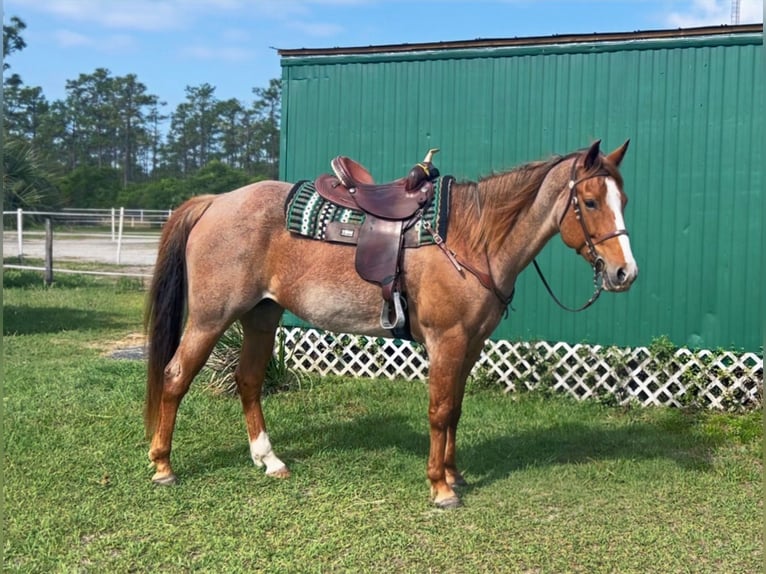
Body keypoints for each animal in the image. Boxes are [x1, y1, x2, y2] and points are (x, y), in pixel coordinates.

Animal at [144, 139, 637, 508]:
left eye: (624, 201)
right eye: (590, 201)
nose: (624, 273)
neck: (472, 238)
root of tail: (215, 203)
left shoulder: (471, 344)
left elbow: (456, 410)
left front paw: (454, 475)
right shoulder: (446, 341)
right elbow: (440, 411)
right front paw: (440, 487)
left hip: (261, 317)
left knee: (247, 381)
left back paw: (269, 460)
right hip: (211, 319)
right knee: (175, 376)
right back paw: (163, 466)